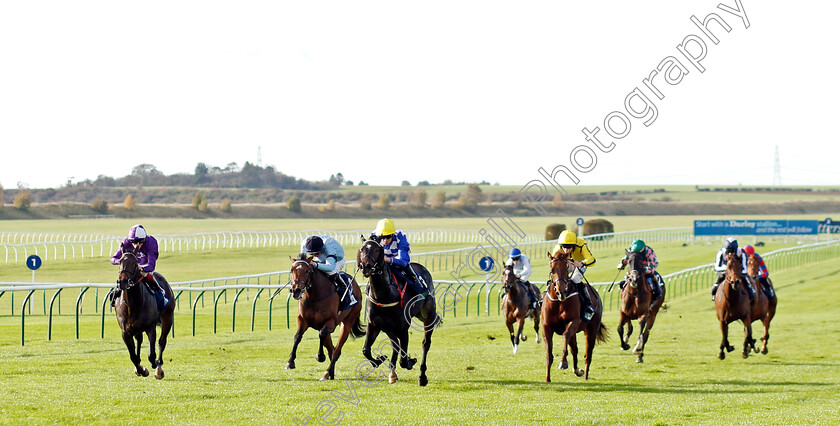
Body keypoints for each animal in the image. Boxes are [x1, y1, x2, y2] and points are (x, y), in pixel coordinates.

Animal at [358, 238, 442, 388]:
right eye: (362, 249)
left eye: (377, 250)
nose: (365, 266)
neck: (384, 295)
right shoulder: (374, 324)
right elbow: (366, 350)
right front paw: (380, 359)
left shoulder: (403, 328)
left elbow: (403, 358)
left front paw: (410, 361)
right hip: (390, 327)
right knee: (395, 345)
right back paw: (392, 372)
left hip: (428, 316)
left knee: (425, 343)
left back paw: (422, 377)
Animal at [540, 251, 608, 382]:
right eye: (552, 270)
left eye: (566, 268)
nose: (561, 292)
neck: (559, 302)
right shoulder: (546, 327)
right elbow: (549, 354)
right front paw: (547, 378)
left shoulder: (573, 322)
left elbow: (565, 335)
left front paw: (563, 362)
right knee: (575, 350)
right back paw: (578, 371)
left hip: (591, 330)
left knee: (588, 354)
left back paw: (585, 375)